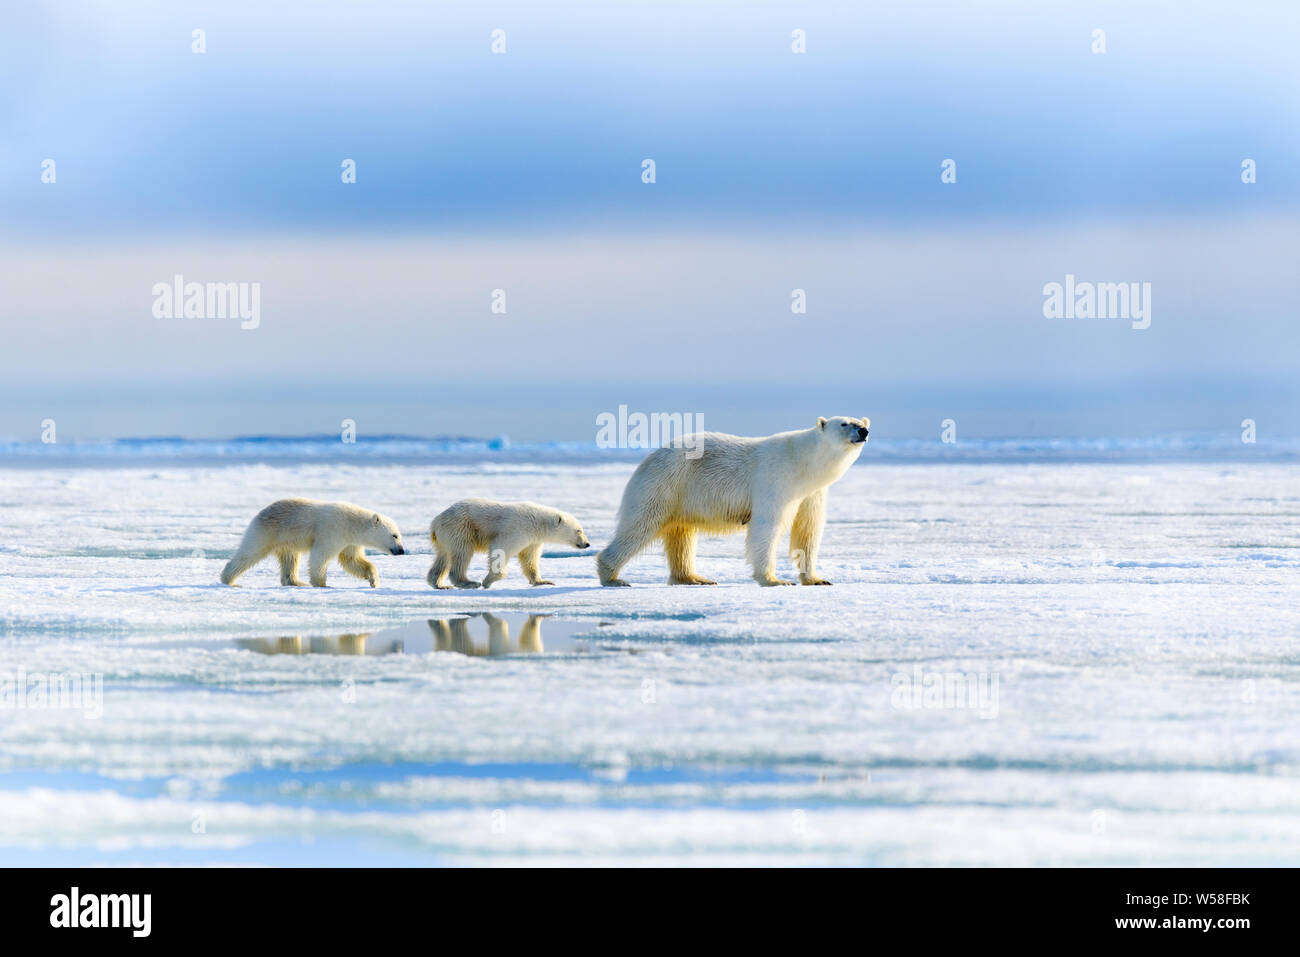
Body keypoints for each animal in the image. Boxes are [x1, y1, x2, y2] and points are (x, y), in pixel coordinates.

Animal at [218, 496, 403, 587]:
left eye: (399, 535)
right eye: (395, 535)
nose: (401, 550)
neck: (352, 523)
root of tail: (260, 512)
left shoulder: (350, 541)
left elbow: (352, 560)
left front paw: (373, 580)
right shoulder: (333, 531)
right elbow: (320, 556)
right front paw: (322, 584)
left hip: (286, 540)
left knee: (290, 559)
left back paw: (296, 582)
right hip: (267, 531)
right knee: (249, 552)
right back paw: (229, 580)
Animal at [426, 496, 590, 587]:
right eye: (579, 530)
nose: (587, 544)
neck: (538, 522)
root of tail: (435, 521)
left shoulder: (533, 540)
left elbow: (529, 558)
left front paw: (542, 581)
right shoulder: (518, 528)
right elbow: (501, 549)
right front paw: (487, 581)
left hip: (446, 535)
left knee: (444, 557)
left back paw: (438, 584)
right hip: (461, 528)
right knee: (462, 553)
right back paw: (469, 582)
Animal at [600, 416, 873, 587]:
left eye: (861, 421)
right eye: (844, 423)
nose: (863, 431)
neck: (804, 464)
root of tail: (648, 458)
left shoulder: (812, 494)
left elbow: (808, 531)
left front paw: (817, 579)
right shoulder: (775, 479)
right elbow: (767, 526)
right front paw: (774, 580)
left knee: (681, 536)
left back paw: (695, 578)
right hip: (665, 484)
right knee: (640, 525)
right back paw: (612, 577)